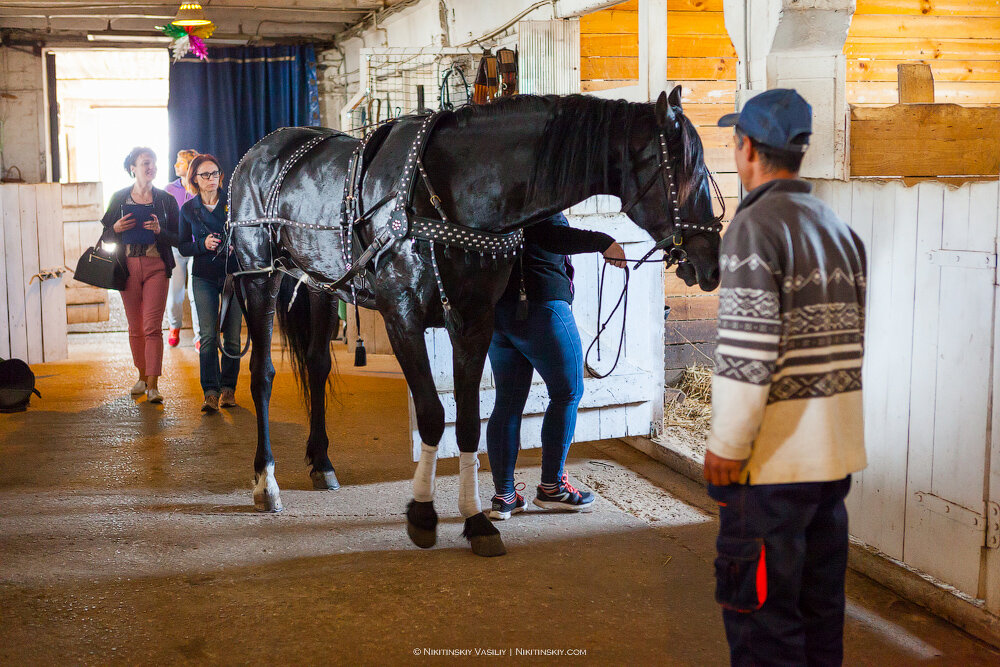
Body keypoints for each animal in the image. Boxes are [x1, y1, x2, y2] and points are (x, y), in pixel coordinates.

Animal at [230, 88, 724, 560]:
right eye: (688, 172)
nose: (711, 263)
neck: (449, 193)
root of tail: (261, 150)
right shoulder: (403, 319)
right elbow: (433, 415)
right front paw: (423, 514)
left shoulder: (474, 321)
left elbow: (468, 422)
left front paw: (476, 521)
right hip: (259, 277)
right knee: (261, 374)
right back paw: (266, 482)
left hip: (319, 284)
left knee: (317, 366)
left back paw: (322, 464)